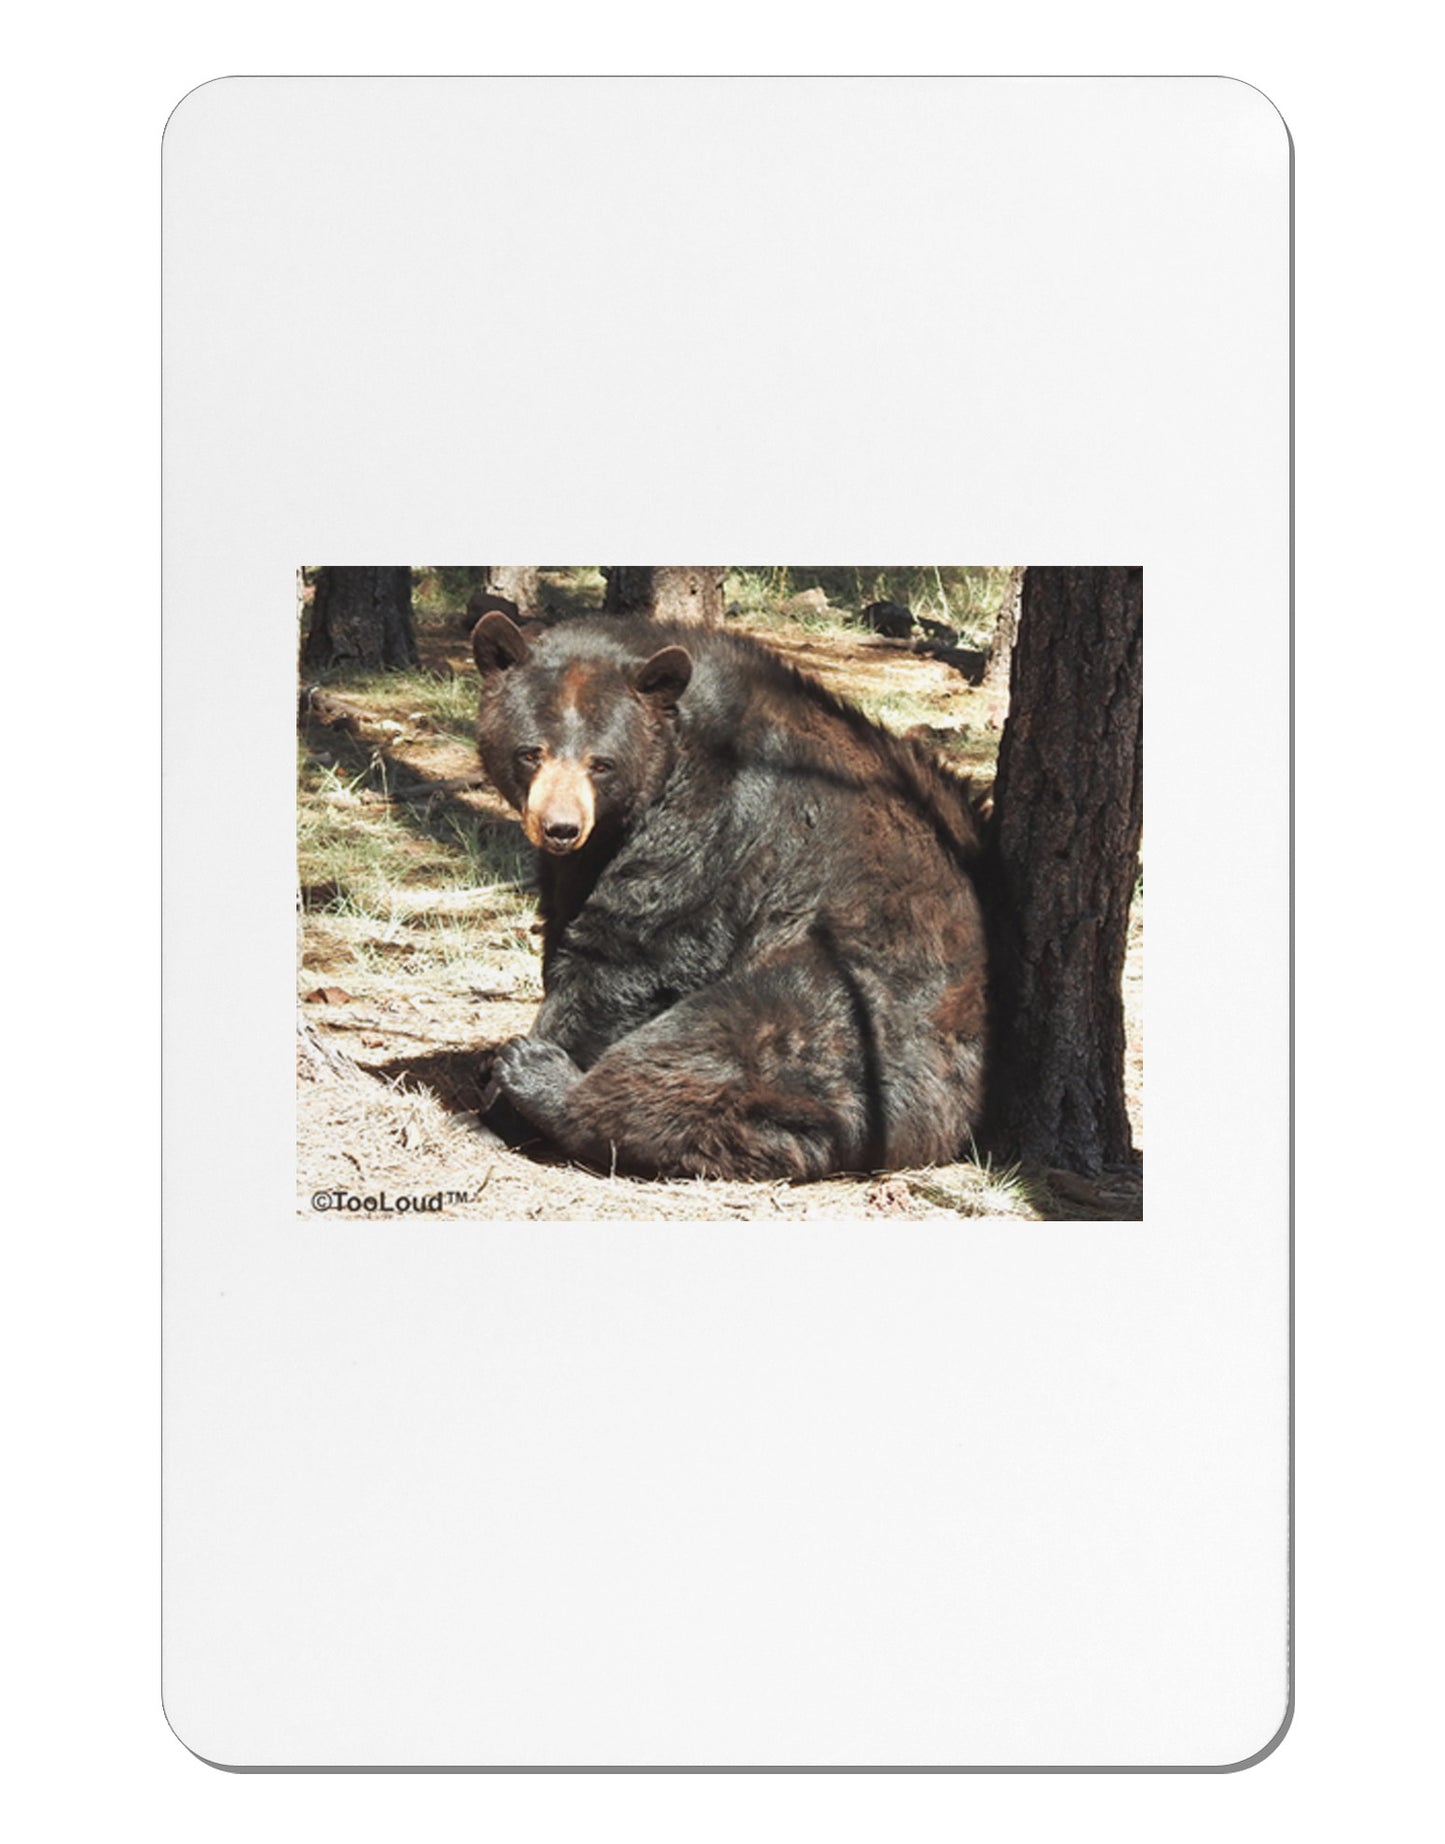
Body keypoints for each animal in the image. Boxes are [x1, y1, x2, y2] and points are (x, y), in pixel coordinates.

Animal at [472, 610, 988, 1182]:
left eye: (601, 763)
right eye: (530, 752)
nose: (560, 827)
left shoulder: (713, 826)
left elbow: (624, 956)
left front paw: (503, 1097)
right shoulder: (587, 858)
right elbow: (567, 918)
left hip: (852, 1000)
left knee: (718, 1043)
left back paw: (541, 1077)